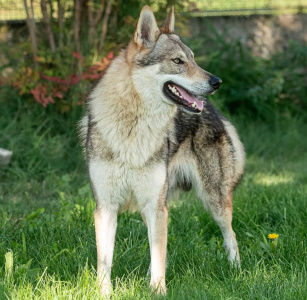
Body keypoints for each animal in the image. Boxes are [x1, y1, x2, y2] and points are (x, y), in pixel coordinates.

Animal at [79, 5, 245, 298]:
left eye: (193, 60)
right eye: (178, 61)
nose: (217, 82)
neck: (133, 126)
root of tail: (215, 111)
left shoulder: (155, 207)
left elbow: (158, 254)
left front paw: (158, 290)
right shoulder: (106, 207)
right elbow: (105, 259)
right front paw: (104, 292)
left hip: (212, 201)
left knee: (230, 235)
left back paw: (236, 272)